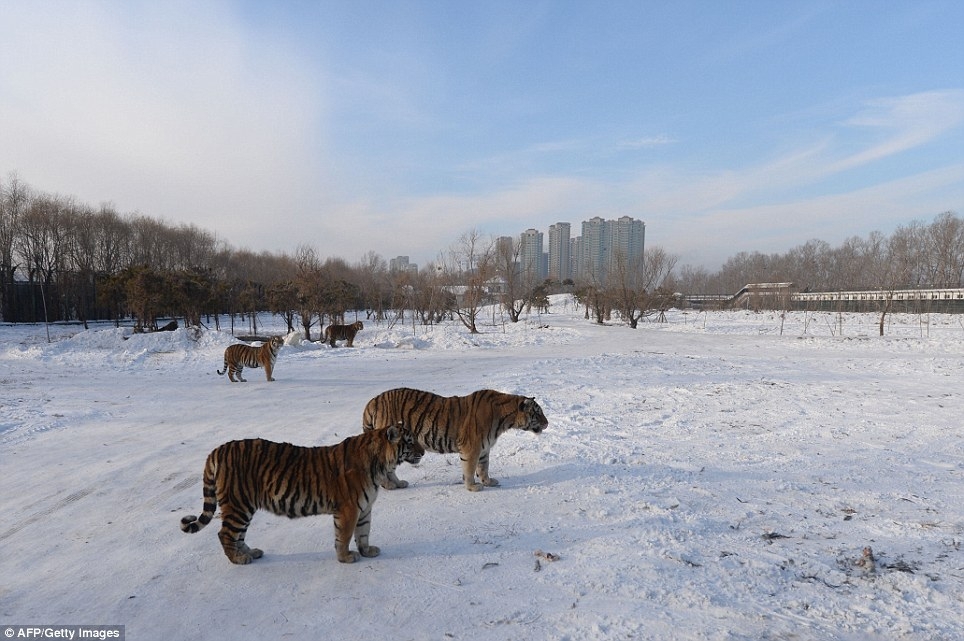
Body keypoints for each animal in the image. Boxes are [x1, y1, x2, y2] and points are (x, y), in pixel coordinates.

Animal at [360, 388, 548, 492]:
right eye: (537, 413)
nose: (547, 423)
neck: (504, 419)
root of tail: (372, 401)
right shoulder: (472, 448)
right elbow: (470, 469)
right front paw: (473, 487)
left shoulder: (484, 449)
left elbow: (484, 467)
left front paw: (488, 482)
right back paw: (389, 485)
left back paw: (399, 483)